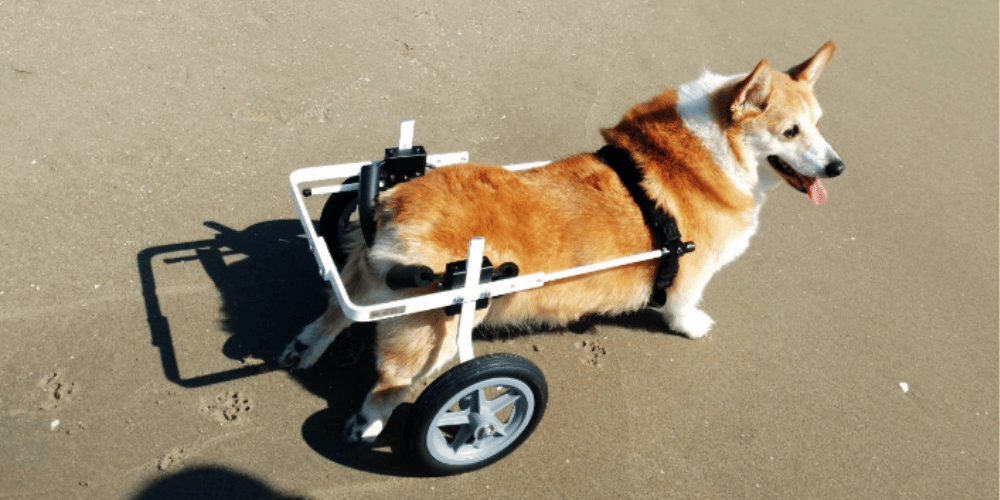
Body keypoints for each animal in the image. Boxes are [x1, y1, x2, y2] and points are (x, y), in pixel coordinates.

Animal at [280, 42, 844, 442]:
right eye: (790, 132)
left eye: (818, 125)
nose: (839, 167)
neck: (714, 149)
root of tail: (390, 205)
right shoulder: (693, 273)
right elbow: (683, 306)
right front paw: (694, 327)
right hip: (443, 328)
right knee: (390, 385)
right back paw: (377, 424)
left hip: (362, 276)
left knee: (334, 308)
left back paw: (303, 346)